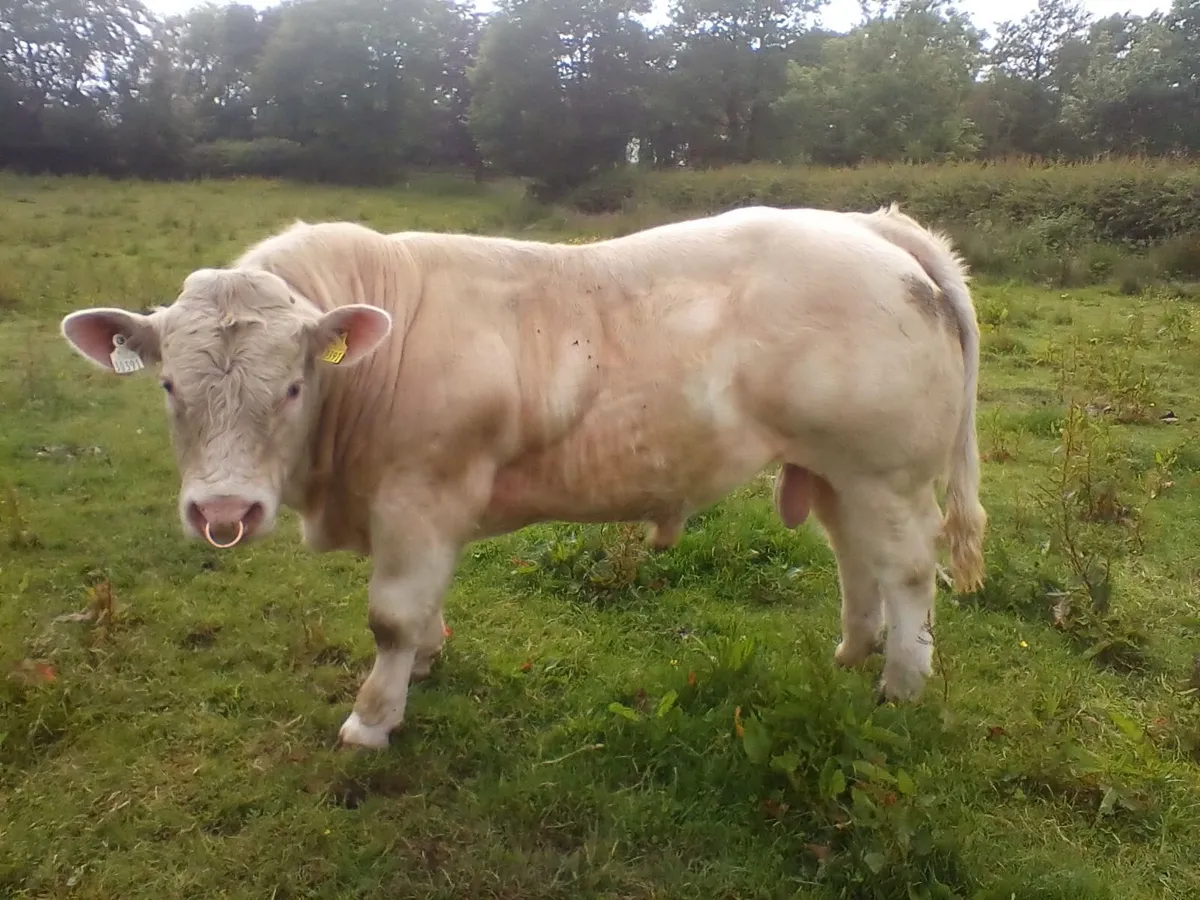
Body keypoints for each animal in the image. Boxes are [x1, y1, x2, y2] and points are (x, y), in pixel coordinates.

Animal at [58, 203, 987, 750]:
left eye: (291, 385)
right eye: (169, 386)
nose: (224, 509)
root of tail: (870, 225)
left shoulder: (420, 495)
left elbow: (390, 615)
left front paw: (371, 719)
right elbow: (421, 610)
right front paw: (424, 665)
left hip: (887, 469)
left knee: (908, 572)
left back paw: (900, 686)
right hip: (835, 468)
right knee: (854, 557)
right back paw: (853, 650)